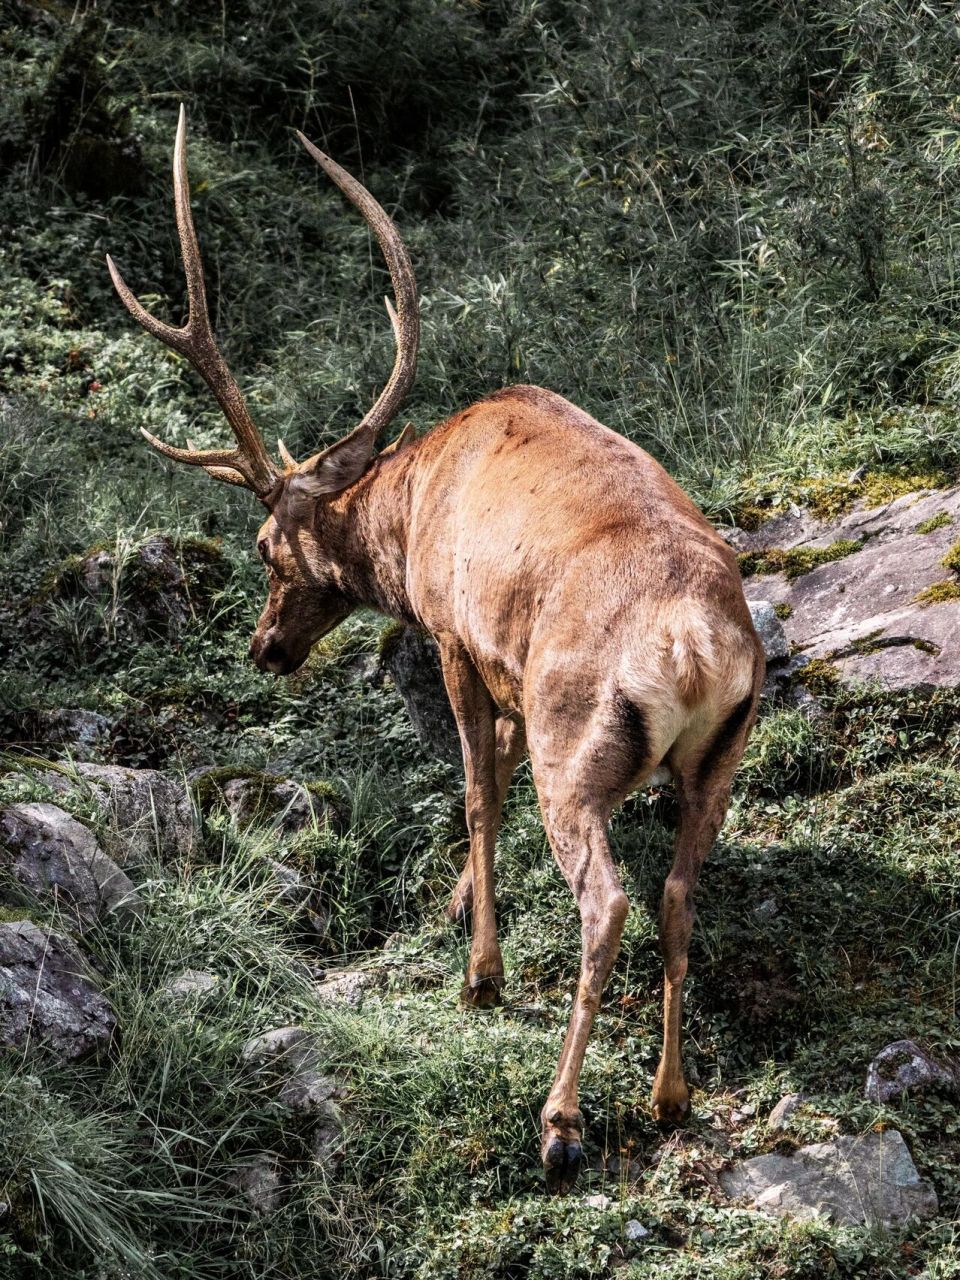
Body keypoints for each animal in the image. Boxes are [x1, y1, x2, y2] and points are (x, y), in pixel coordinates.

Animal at [106, 107, 768, 1187]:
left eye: (264, 547)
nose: (265, 646)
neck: (411, 505)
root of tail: (696, 650)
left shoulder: (460, 634)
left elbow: (476, 790)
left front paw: (480, 971)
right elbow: (488, 770)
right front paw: (459, 909)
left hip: (578, 736)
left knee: (607, 899)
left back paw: (560, 1117)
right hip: (722, 752)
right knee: (676, 894)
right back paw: (671, 1096)